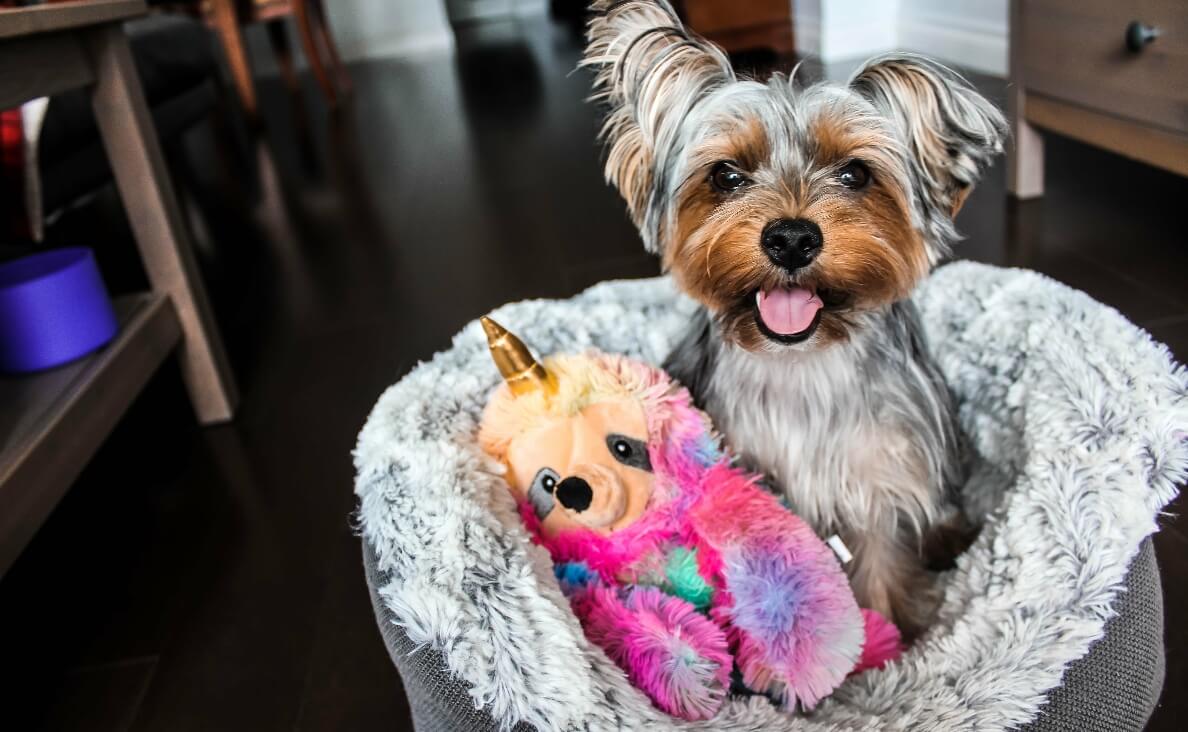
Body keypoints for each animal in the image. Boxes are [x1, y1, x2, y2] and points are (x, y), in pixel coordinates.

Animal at [582, 0, 1002, 636]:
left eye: (855, 174)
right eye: (726, 175)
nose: (792, 238)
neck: (801, 358)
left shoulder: (881, 478)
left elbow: (882, 566)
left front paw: (885, 645)